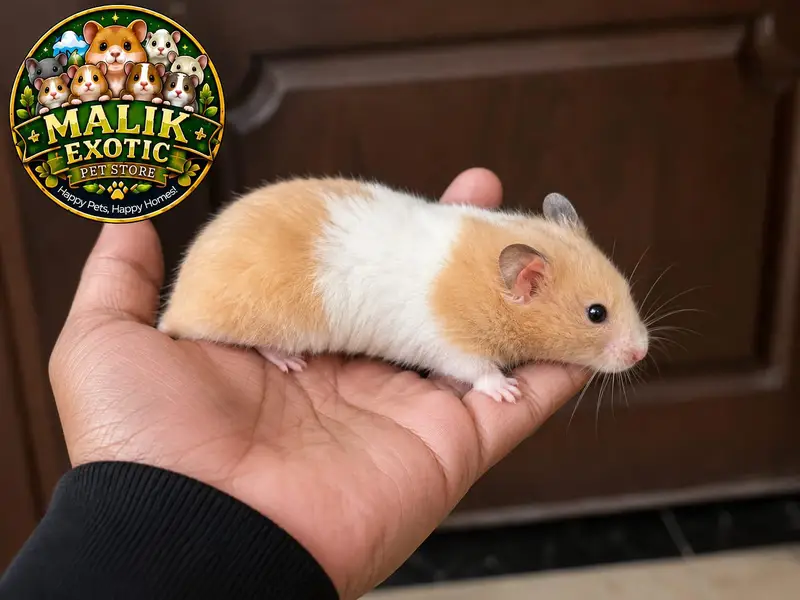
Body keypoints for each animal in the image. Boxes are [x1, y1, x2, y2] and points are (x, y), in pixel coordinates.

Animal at [157, 178, 650, 403]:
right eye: (596, 313)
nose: (642, 352)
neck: (487, 290)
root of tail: (176, 304)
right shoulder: (451, 345)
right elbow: (478, 370)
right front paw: (509, 391)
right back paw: (289, 362)